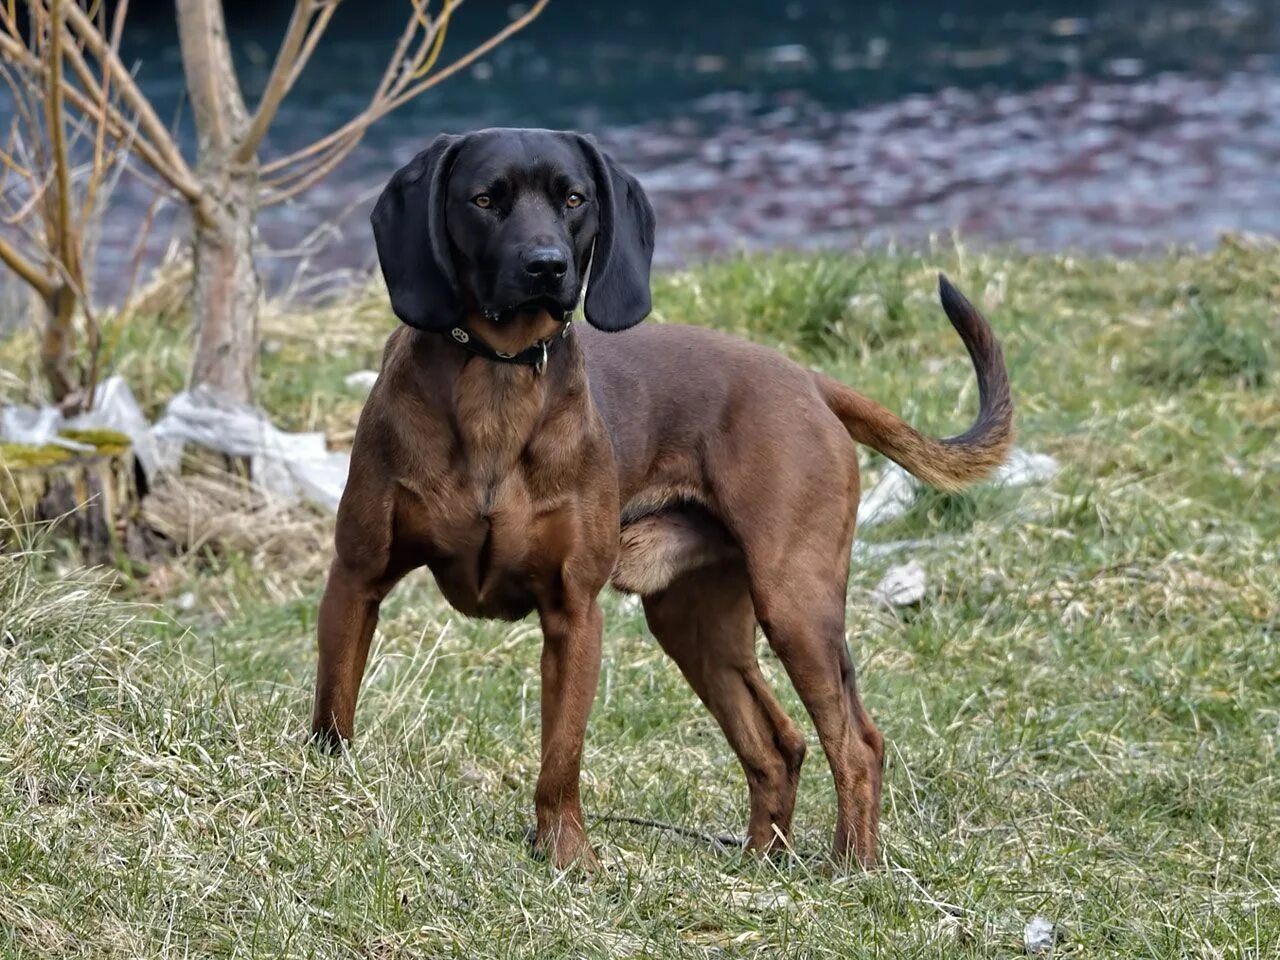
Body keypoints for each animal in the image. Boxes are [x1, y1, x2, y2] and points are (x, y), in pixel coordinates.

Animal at [309, 128, 1008, 870]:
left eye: (574, 198)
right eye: (483, 200)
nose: (547, 266)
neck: (498, 377)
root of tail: (810, 381)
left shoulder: (573, 614)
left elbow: (561, 759)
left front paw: (567, 856)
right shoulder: (358, 577)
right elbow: (334, 709)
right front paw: (327, 787)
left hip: (795, 602)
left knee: (855, 742)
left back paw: (853, 865)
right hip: (695, 622)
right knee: (778, 744)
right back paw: (763, 861)